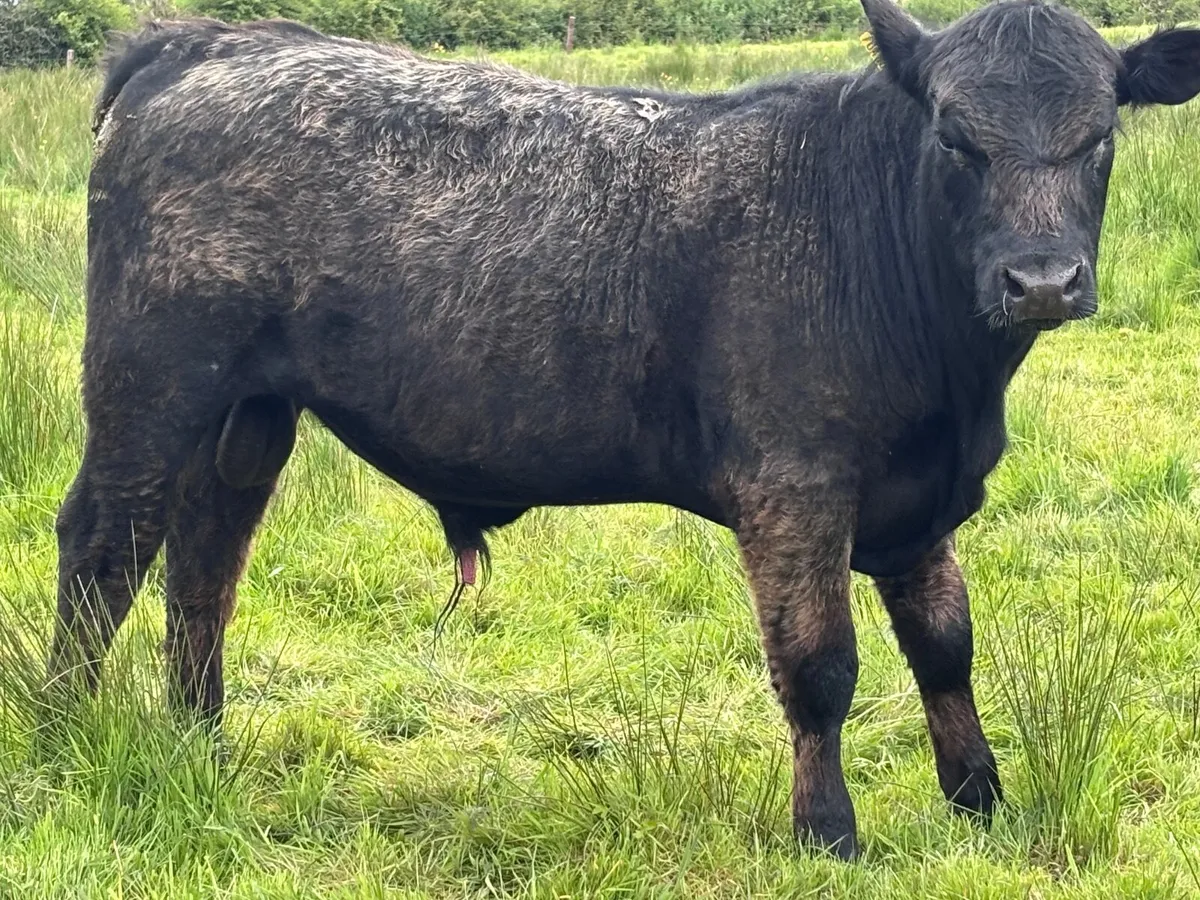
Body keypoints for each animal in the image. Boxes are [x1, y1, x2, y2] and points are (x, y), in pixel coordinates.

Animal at [47, 0, 1200, 858]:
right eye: (958, 140)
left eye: (1100, 136)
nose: (1041, 280)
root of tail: (210, 41)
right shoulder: (795, 488)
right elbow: (822, 666)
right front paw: (828, 833)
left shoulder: (922, 504)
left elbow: (946, 649)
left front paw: (980, 801)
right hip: (152, 382)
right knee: (105, 546)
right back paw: (67, 735)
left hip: (247, 414)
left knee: (204, 565)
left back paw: (200, 743)